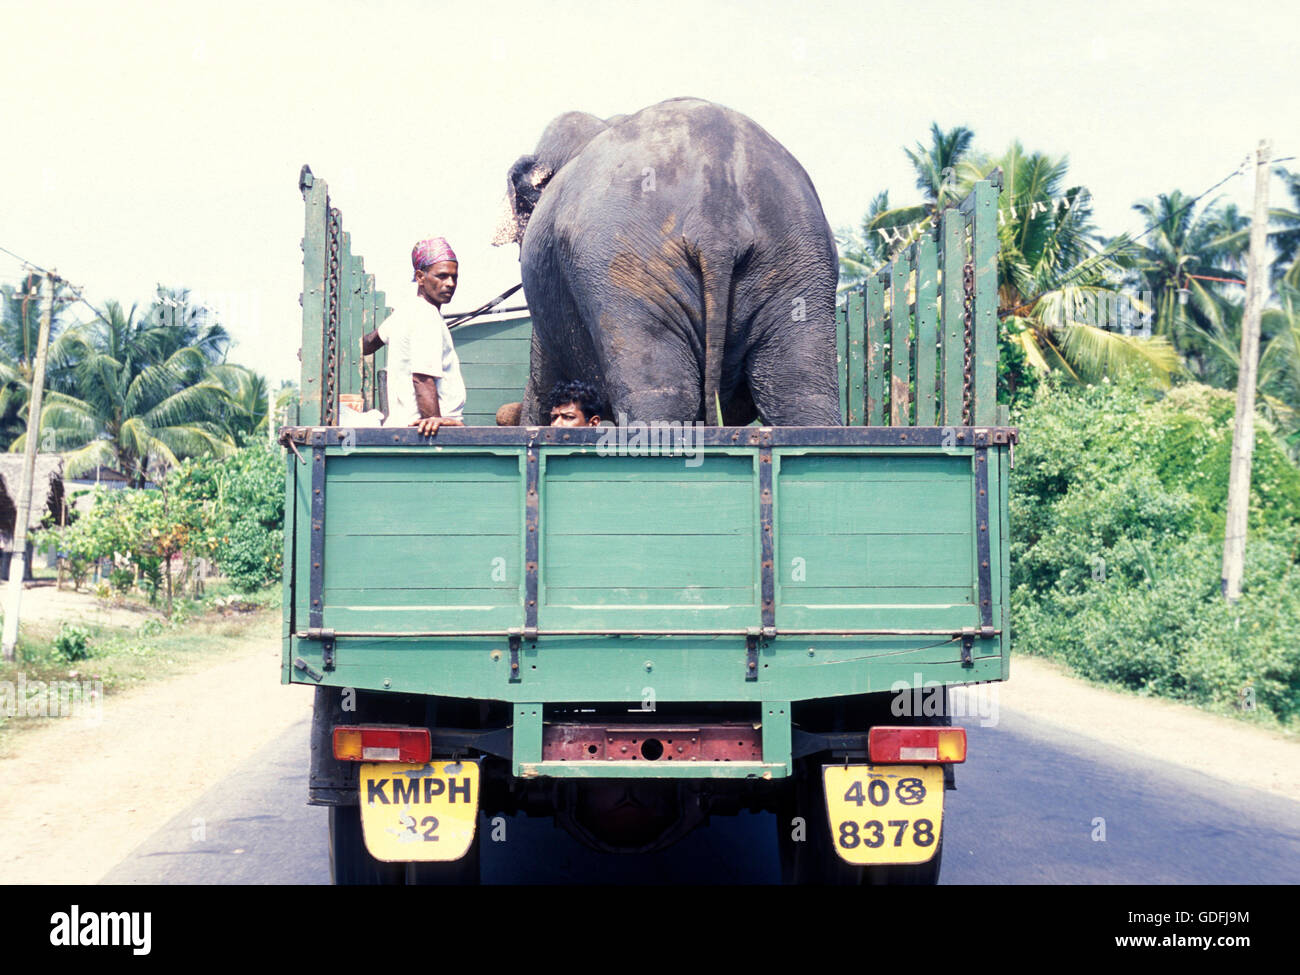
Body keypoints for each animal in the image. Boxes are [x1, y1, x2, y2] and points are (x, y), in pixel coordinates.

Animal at [492, 97, 841, 427]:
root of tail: (716, 215)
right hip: (798, 261)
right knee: (799, 394)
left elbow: (542, 384)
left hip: (623, 269)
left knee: (661, 396)